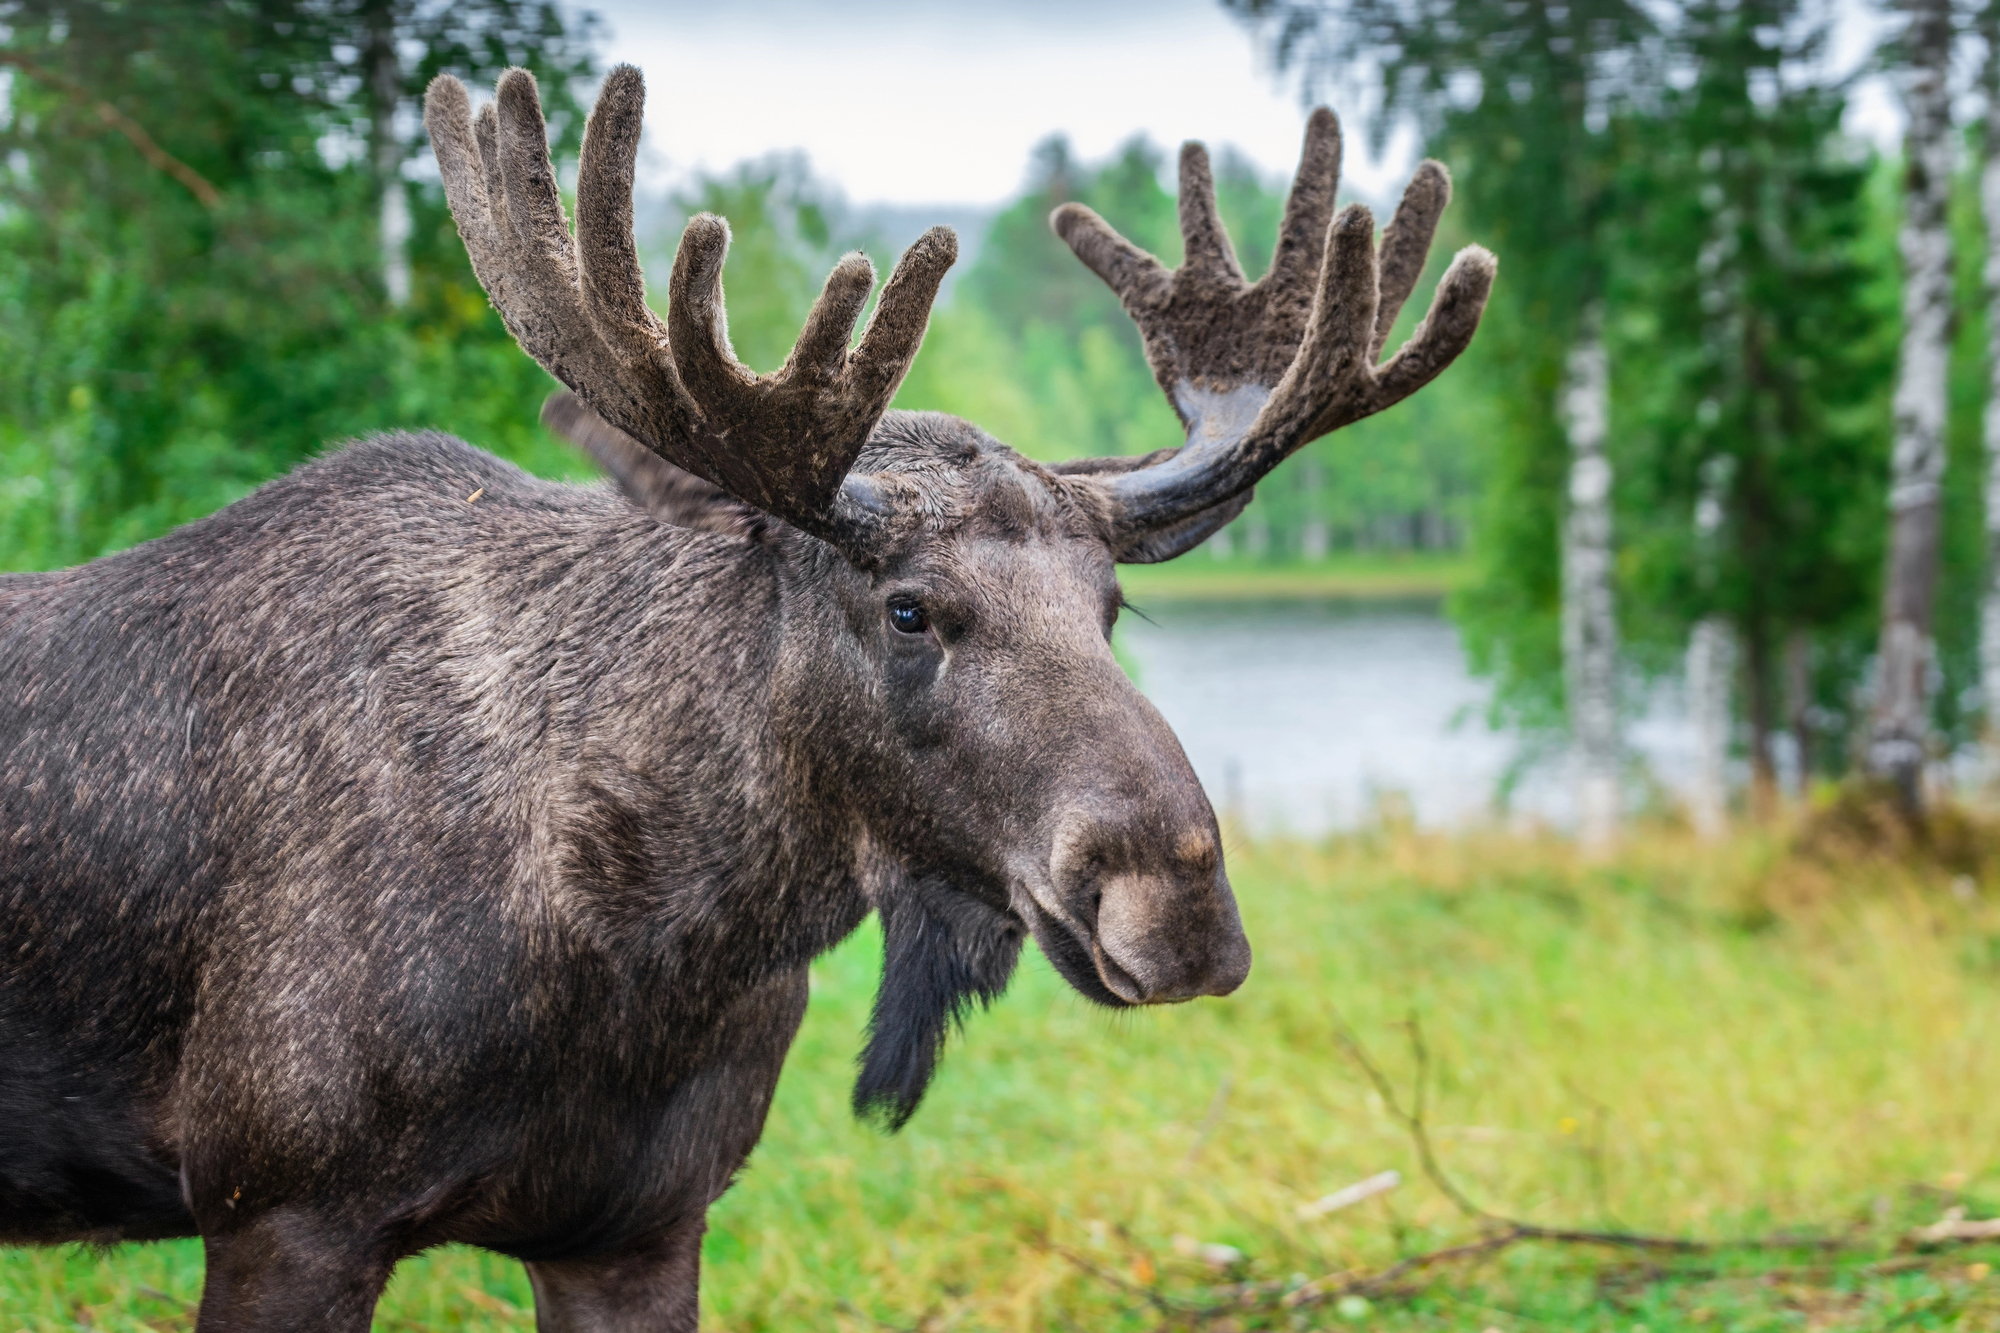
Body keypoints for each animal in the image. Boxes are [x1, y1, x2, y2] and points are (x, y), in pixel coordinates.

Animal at [0, 65, 1496, 1328]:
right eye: (909, 609)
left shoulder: (639, 1228)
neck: (652, 952)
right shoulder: (282, 1211)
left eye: (1110, 606)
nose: (1178, 901)